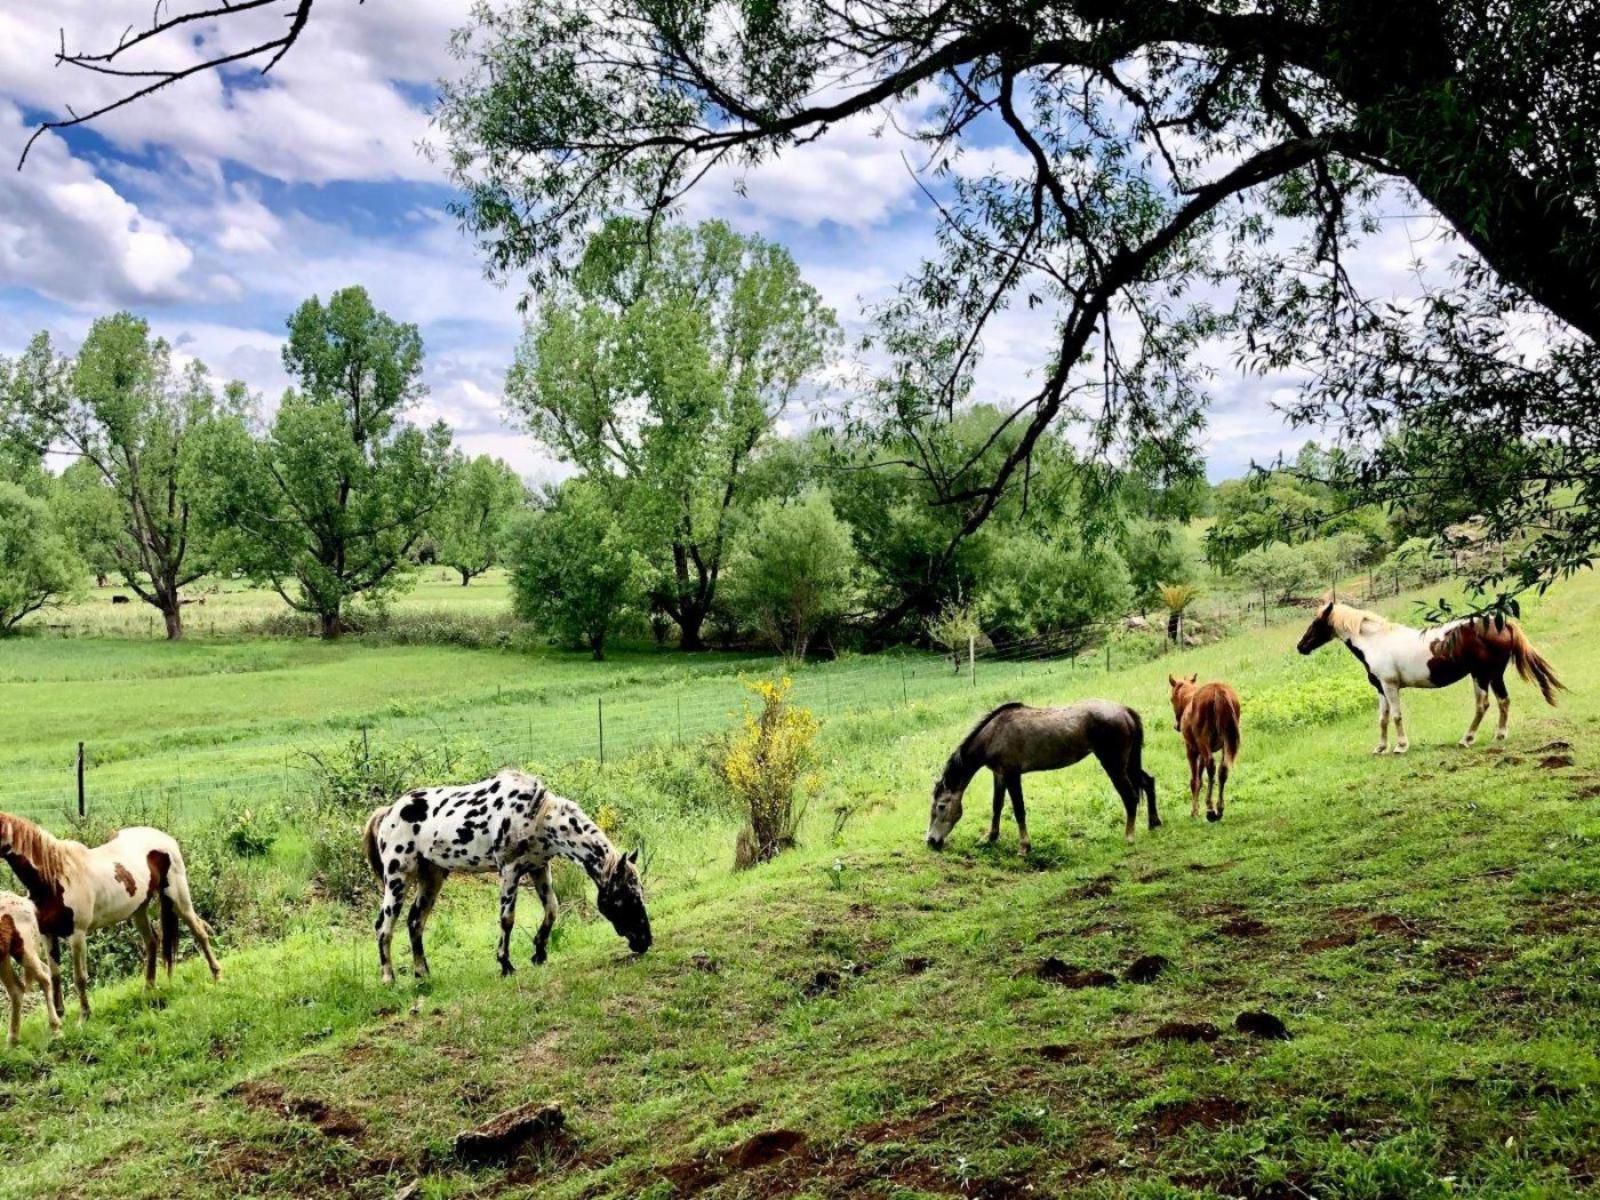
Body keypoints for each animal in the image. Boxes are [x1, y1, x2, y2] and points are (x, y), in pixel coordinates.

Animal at [0, 812, 222, 1017]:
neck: (55, 878)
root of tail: (167, 839)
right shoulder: (48, 934)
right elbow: (55, 974)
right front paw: (60, 1014)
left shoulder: (77, 935)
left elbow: (79, 977)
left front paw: (84, 1016)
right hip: (139, 909)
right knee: (152, 941)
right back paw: (148, 988)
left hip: (178, 898)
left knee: (199, 931)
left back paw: (217, 975)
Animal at [366, 771, 649, 985]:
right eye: (625, 898)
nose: (645, 940)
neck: (536, 815)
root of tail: (388, 812)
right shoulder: (510, 871)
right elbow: (507, 919)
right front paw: (506, 964)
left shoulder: (539, 868)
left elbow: (552, 909)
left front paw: (539, 954)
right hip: (398, 878)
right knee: (384, 926)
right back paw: (389, 979)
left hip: (432, 877)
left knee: (415, 922)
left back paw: (422, 973)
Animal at [928, 700, 1164, 857]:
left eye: (941, 806)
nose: (930, 841)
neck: (994, 733)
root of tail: (1124, 710)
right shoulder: (1000, 774)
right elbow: (997, 806)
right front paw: (990, 838)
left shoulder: (1012, 775)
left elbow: (1019, 809)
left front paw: (1024, 847)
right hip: (1129, 763)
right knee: (1148, 782)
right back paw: (1154, 823)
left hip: (1114, 764)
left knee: (1130, 796)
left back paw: (1129, 836)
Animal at [1292, 604, 1568, 755]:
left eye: (1316, 623)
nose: (1301, 647)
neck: (1376, 641)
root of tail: (1502, 624)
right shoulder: (1381, 689)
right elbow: (1382, 719)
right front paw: (1380, 748)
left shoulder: (1391, 687)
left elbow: (1396, 716)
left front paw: (1400, 746)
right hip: (1493, 675)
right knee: (1503, 701)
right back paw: (1498, 736)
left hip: (1481, 675)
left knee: (1484, 705)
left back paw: (1466, 740)